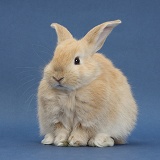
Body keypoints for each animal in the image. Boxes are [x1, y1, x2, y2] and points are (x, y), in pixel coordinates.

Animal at [37, 19, 138, 147]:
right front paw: (60, 141)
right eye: (54, 57)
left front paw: (75, 141)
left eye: (77, 60)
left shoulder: (88, 120)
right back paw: (48, 139)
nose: (57, 77)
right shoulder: (56, 118)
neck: (70, 92)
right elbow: (61, 130)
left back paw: (99, 141)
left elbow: (82, 130)